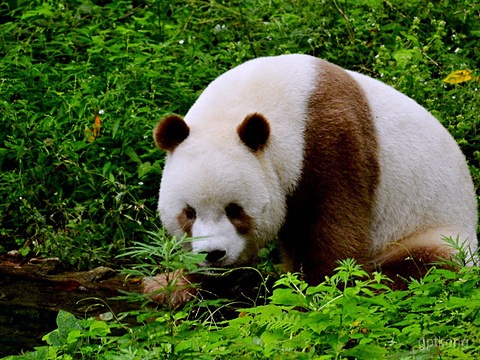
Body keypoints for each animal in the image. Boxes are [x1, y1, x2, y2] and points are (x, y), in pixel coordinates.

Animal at [145, 54, 476, 306]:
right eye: (189, 213)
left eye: (234, 210)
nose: (213, 254)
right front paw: (168, 286)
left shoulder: (331, 142)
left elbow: (333, 233)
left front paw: (313, 295)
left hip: (435, 229)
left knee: (424, 266)